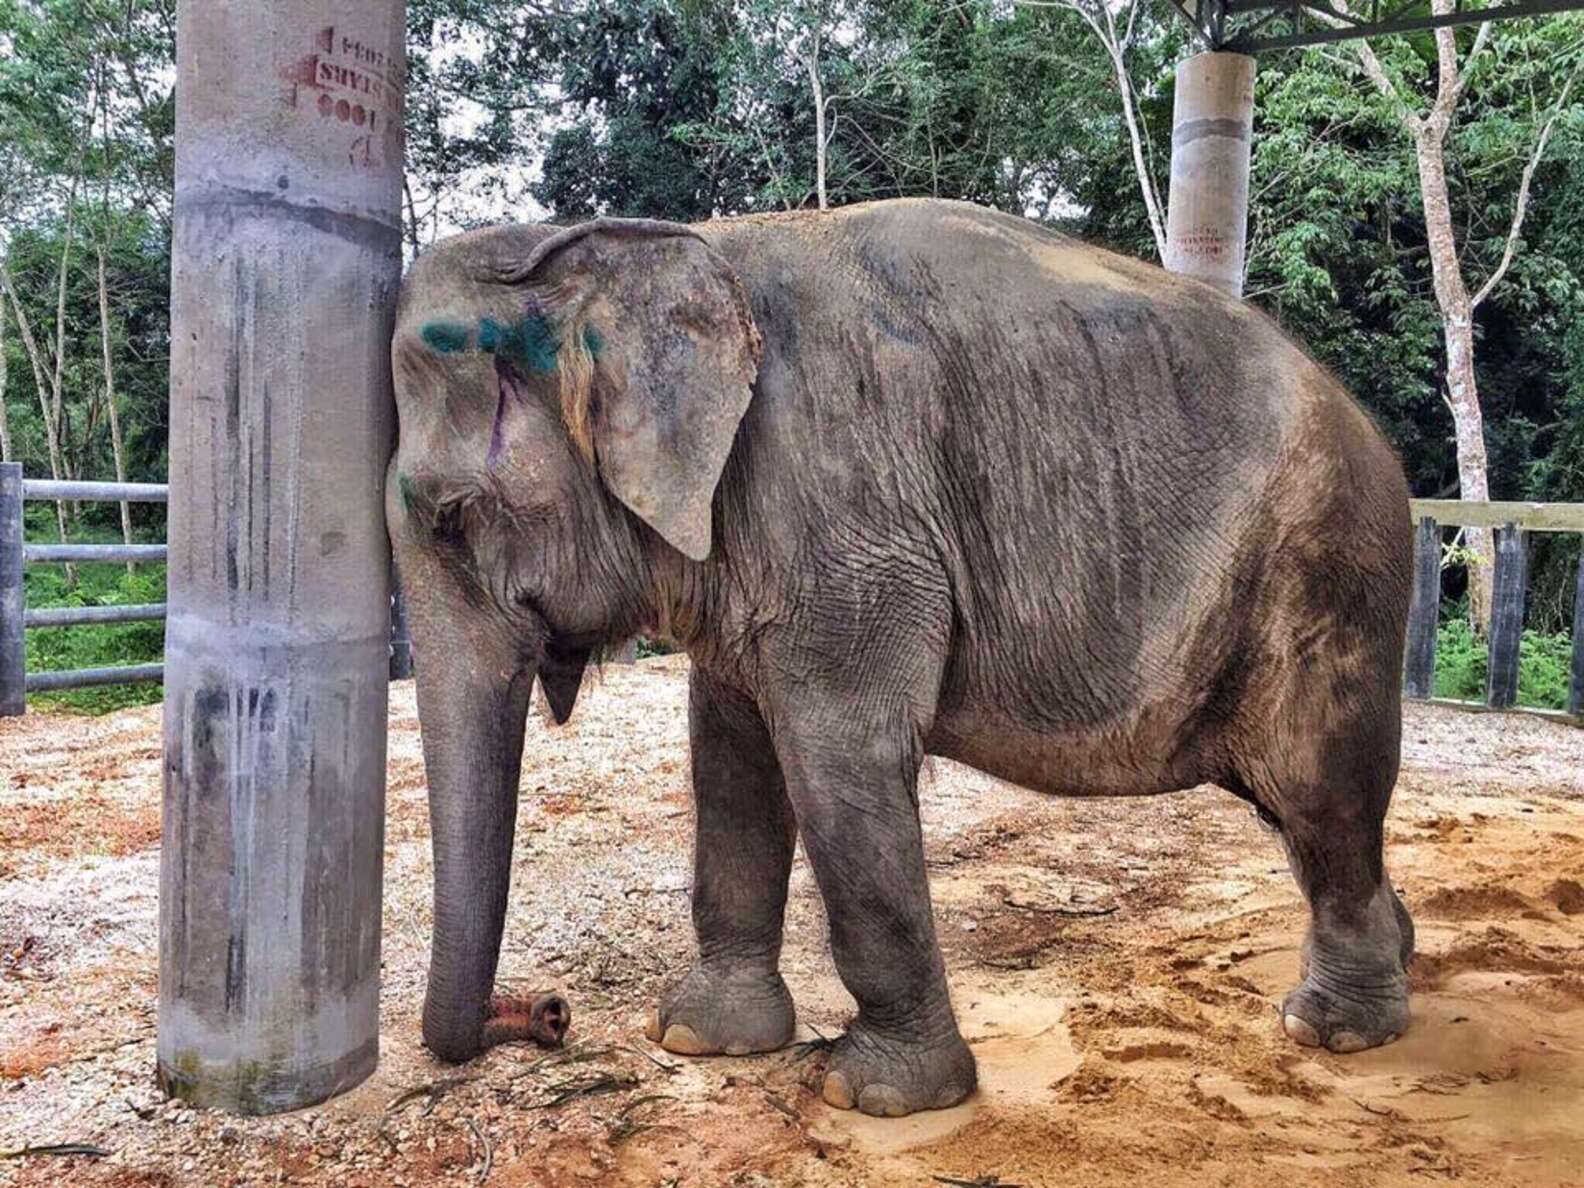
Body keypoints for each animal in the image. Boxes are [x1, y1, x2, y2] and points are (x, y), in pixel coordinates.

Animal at [389, 195, 1419, 1115]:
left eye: (450, 518)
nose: (545, 1014)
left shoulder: (849, 516)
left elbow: (838, 757)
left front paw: (877, 1095)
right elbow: (732, 761)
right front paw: (697, 1038)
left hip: (1328, 575)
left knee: (1319, 789)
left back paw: (1334, 1029)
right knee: (1303, 814)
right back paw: (1398, 957)